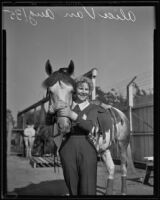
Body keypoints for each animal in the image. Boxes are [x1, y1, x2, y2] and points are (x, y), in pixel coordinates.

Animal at [41, 59, 136, 195]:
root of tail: (121, 114)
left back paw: (123, 192)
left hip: (122, 145)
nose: (64, 125)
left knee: (123, 167)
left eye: (72, 91)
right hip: (105, 148)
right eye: (50, 91)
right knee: (111, 168)